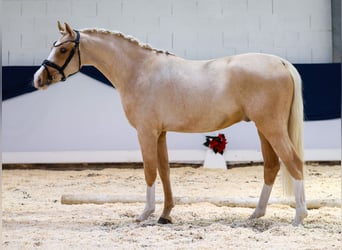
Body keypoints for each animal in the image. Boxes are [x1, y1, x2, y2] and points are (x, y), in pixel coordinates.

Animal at [34, 22, 308, 227]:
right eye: (53, 46)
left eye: (62, 49)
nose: (38, 79)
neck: (140, 71)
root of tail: (280, 62)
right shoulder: (161, 133)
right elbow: (165, 171)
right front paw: (165, 215)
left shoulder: (146, 132)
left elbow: (149, 170)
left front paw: (145, 214)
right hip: (264, 128)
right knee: (272, 166)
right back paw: (256, 214)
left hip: (271, 127)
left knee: (293, 162)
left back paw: (299, 217)